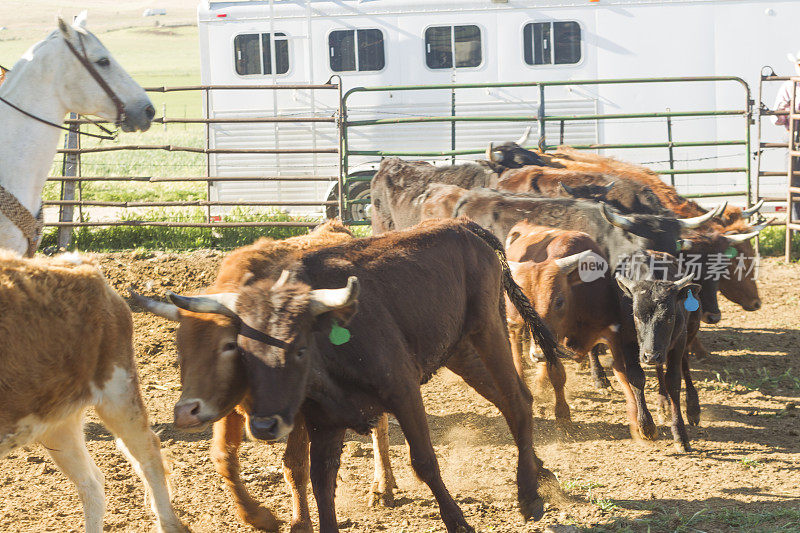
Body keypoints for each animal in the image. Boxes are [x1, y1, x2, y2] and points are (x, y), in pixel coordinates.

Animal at [0, 250, 184, 532]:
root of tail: (82, 265)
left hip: (118, 390)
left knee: (148, 453)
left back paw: (169, 523)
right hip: (56, 420)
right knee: (92, 483)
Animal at [164, 217, 564, 532]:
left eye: (227, 347)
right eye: (243, 351)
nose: (187, 411)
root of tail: (462, 225)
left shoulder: (404, 393)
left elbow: (424, 461)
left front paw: (458, 522)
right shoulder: (323, 421)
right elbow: (319, 479)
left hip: (487, 331)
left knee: (516, 400)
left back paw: (528, 495)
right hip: (461, 351)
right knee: (513, 402)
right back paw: (540, 474)